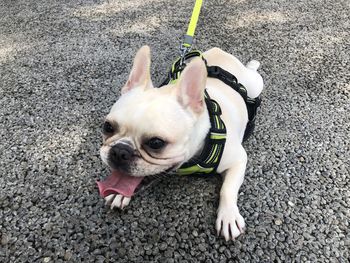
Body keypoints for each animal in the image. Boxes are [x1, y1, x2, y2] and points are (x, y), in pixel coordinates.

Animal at [98, 46, 262, 241]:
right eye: (107, 127)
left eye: (156, 143)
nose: (120, 151)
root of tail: (220, 52)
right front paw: (118, 193)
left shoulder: (238, 160)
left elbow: (227, 189)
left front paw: (228, 216)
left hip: (255, 84)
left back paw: (253, 64)